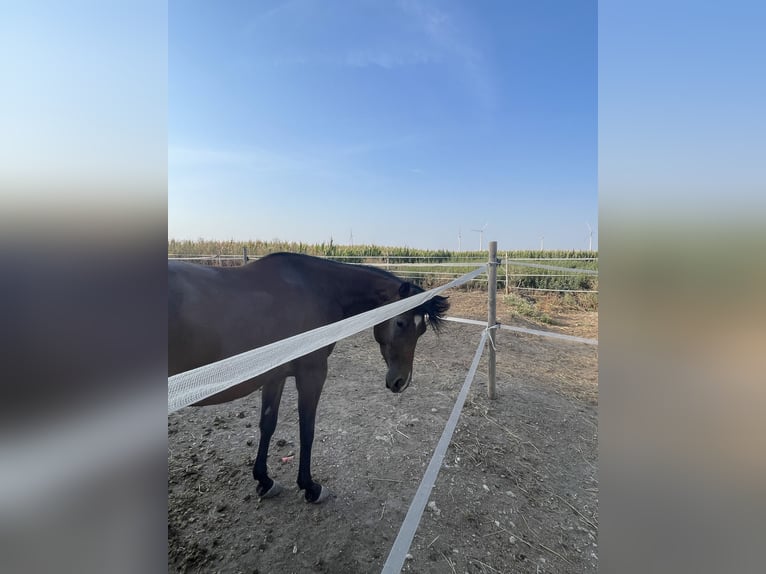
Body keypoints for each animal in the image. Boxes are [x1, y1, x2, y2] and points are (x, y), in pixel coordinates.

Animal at [168, 252, 450, 504]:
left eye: (422, 330)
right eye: (400, 322)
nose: (402, 382)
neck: (316, 290)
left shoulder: (275, 376)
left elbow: (268, 424)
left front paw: (264, 480)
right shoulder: (312, 374)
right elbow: (307, 429)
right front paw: (310, 487)